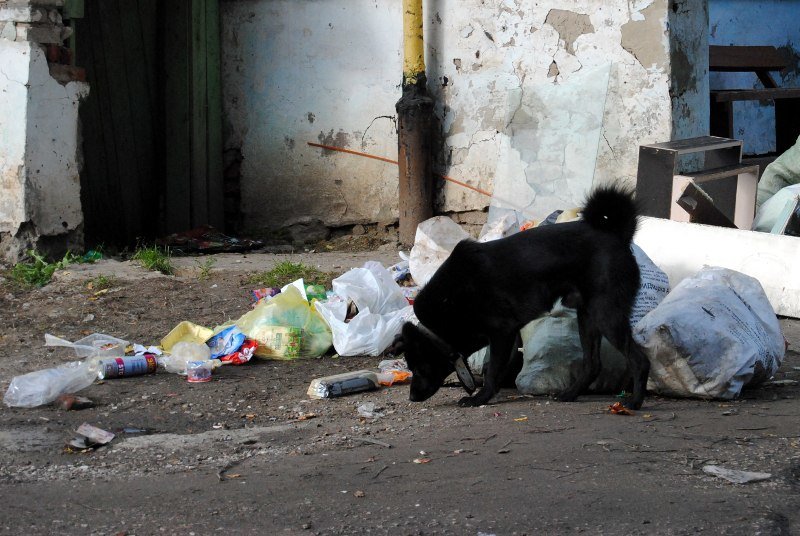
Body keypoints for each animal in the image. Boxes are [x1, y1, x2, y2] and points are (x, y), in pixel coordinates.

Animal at [400, 186, 648, 408]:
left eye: (419, 368)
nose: (411, 397)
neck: (451, 302)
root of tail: (616, 235)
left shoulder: (502, 332)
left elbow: (492, 371)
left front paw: (480, 398)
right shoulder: (508, 335)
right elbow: (495, 367)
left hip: (606, 314)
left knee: (639, 360)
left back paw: (635, 402)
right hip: (587, 315)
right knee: (593, 364)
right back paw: (570, 394)